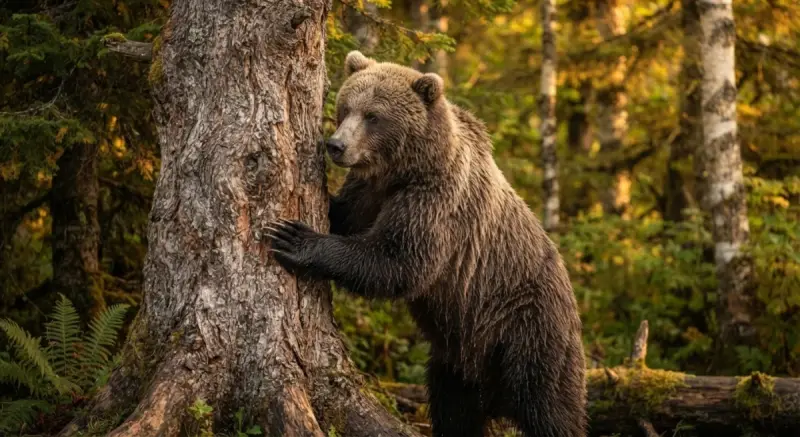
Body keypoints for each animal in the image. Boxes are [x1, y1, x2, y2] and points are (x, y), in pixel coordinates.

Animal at [267, 50, 587, 437]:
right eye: (346, 107)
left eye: (373, 116)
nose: (337, 145)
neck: (404, 170)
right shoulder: (371, 192)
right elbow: (347, 217)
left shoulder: (436, 202)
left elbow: (401, 261)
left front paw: (294, 238)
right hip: (458, 358)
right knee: (453, 409)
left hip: (530, 331)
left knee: (550, 408)